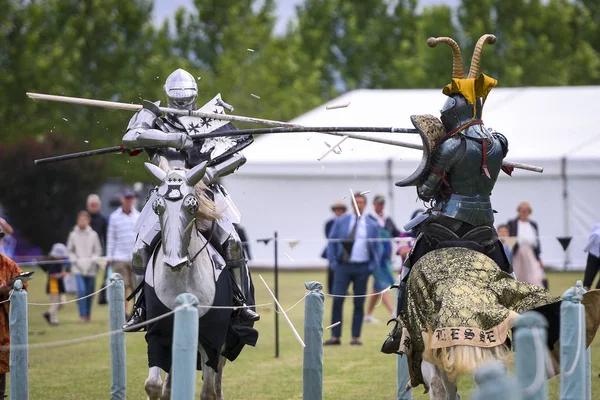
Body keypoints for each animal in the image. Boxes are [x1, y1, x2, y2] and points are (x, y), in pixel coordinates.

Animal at [143, 160, 232, 400]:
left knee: (217, 374)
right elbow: (153, 385)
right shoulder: (159, 333)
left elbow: (208, 391)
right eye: (158, 207)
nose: (175, 262)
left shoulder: (211, 337)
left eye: (192, 206)